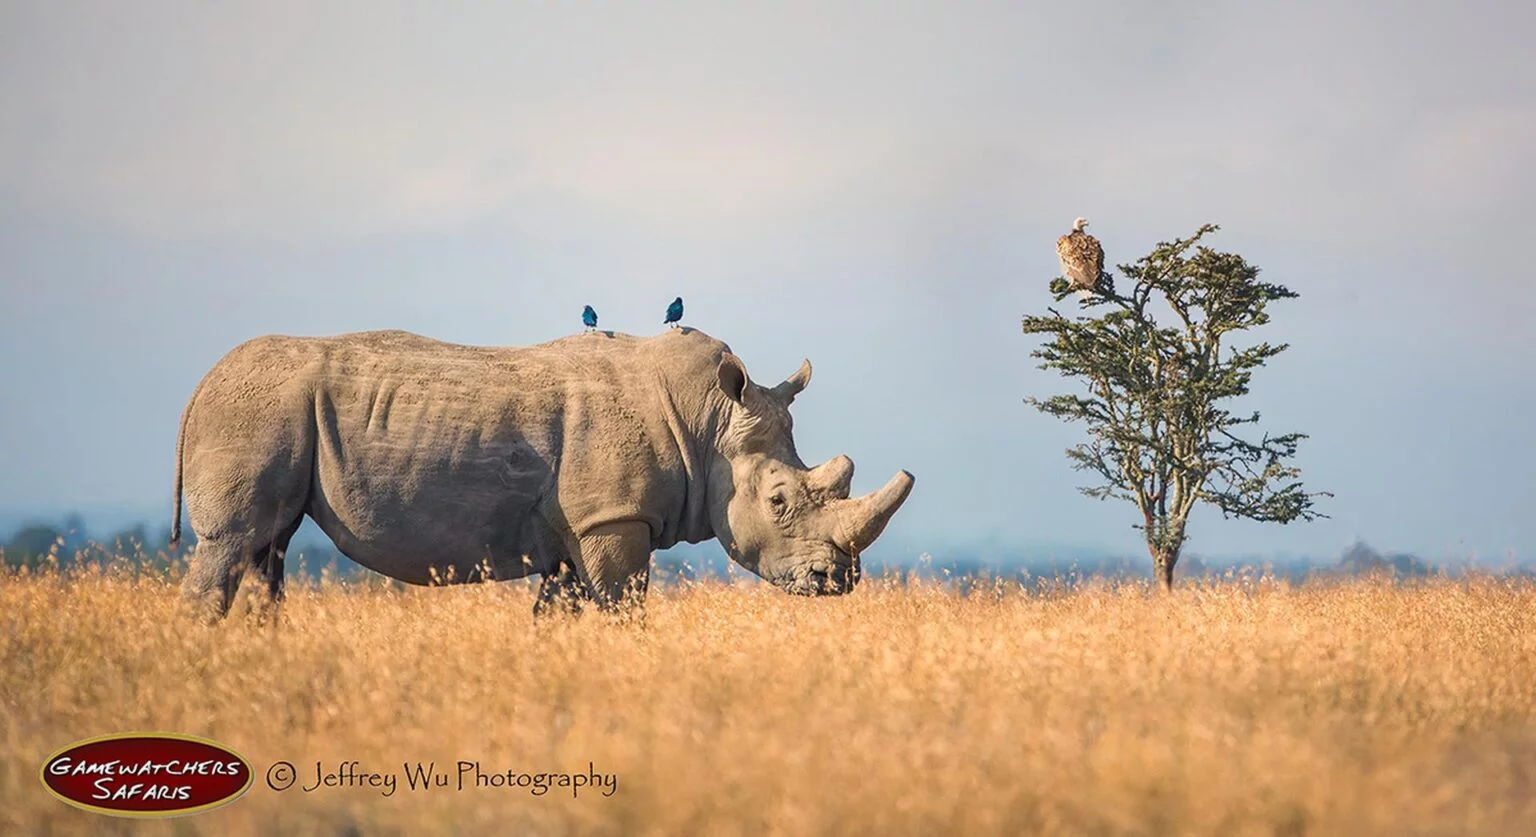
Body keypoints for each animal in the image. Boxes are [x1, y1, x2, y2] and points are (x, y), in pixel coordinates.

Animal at [169, 328, 914, 620]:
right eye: (780, 500)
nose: (837, 580)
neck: (708, 426)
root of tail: (199, 385)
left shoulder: (580, 529)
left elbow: (562, 613)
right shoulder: (613, 519)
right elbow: (623, 607)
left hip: (273, 414)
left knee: (268, 550)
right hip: (256, 410)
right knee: (233, 544)